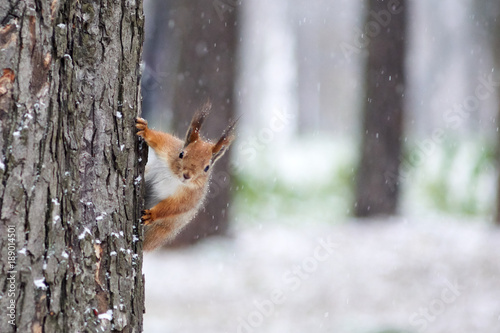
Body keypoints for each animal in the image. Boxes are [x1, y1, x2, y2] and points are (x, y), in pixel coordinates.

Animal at [135, 102, 236, 250]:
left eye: (207, 168)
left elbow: (175, 207)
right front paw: (145, 130)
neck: (175, 178)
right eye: (181, 154)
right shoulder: (168, 149)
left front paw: (152, 214)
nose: (187, 175)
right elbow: (159, 139)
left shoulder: (191, 195)